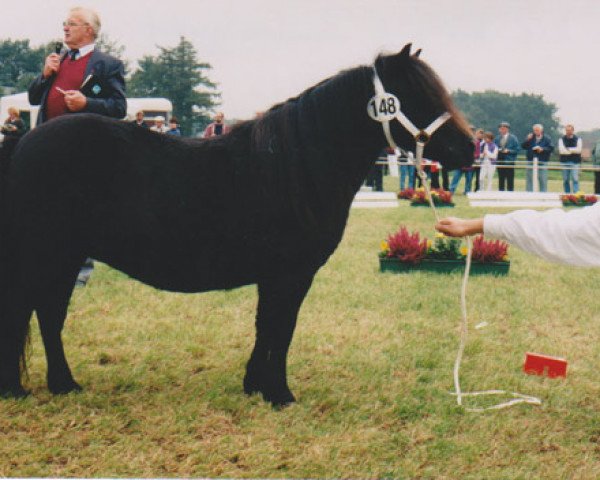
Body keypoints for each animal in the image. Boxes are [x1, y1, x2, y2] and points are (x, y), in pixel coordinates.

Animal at [0, 44, 474, 404]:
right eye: (418, 96)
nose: (468, 148)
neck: (294, 165)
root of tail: (25, 140)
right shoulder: (290, 274)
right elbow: (281, 328)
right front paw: (279, 394)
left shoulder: (276, 275)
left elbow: (267, 327)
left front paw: (255, 386)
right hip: (46, 253)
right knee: (28, 309)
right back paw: (19, 390)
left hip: (64, 256)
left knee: (48, 314)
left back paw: (65, 385)